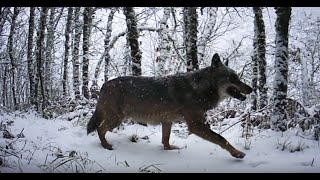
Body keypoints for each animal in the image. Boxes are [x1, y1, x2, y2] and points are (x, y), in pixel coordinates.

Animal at [87, 53, 252, 159]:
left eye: (238, 78)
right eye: (233, 78)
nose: (251, 89)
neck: (199, 88)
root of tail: (105, 84)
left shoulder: (167, 121)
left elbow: (165, 141)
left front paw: (169, 150)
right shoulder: (195, 125)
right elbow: (221, 139)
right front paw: (237, 153)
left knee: (100, 128)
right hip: (117, 119)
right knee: (100, 129)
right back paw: (106, 146)